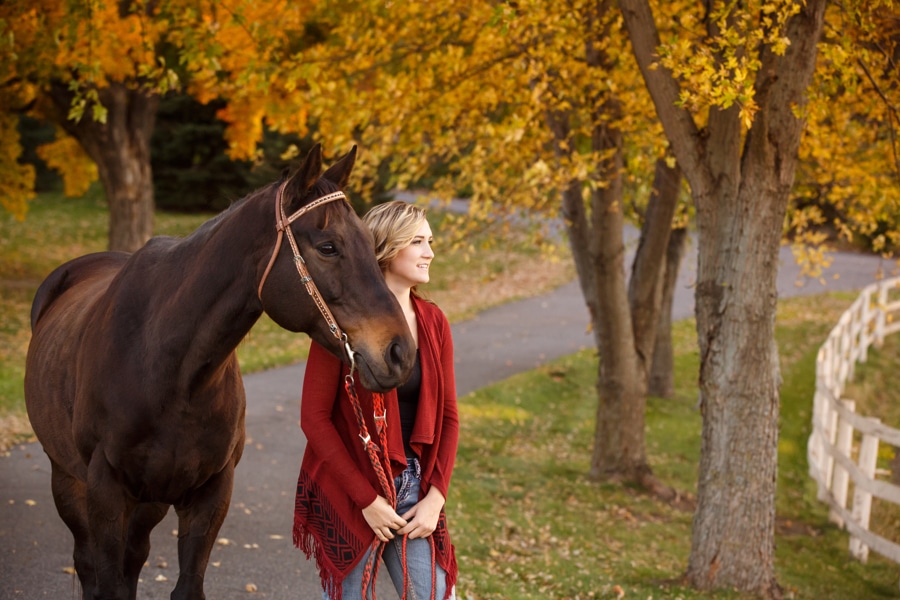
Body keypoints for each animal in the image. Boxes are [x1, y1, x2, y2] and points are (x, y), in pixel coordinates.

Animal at [22, 145, 414, 600]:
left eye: (372, 243)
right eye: (328, 246)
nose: (400, 352)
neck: (169, 372)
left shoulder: (212, 492)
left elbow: (183, 585)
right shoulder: (105, 489)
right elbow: (107, 582)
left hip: (150, 500)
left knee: (134, 558)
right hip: (68, 479)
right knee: (88, 564)